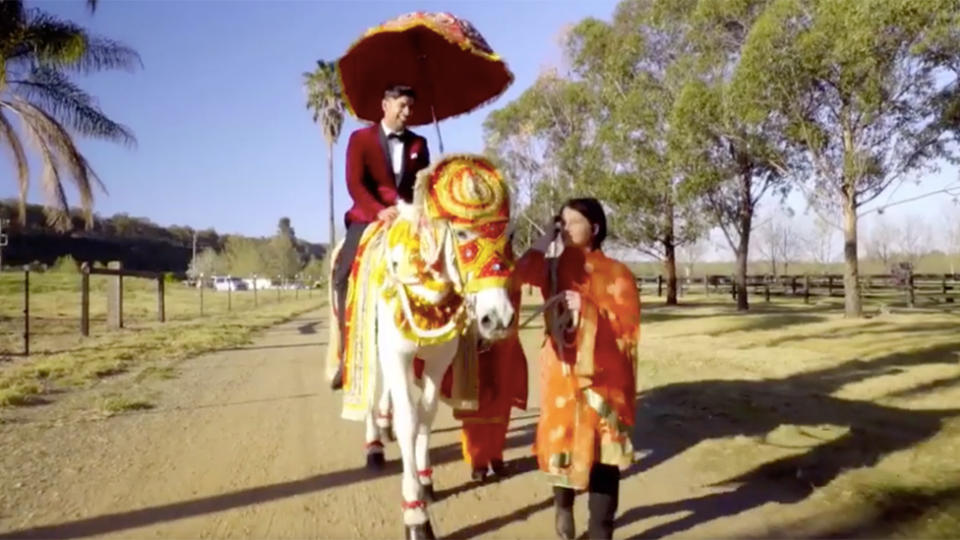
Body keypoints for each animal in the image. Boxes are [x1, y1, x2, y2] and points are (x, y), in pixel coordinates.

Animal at [324, 153, 516, 540]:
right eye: (462, 233)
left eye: (508, 236)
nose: (499, 318)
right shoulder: (397, 354)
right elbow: (409, 420)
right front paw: (416, 514)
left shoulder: (439, 357)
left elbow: (425, 413)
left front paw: (426, 481)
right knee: (372, 393)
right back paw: (374, 445)